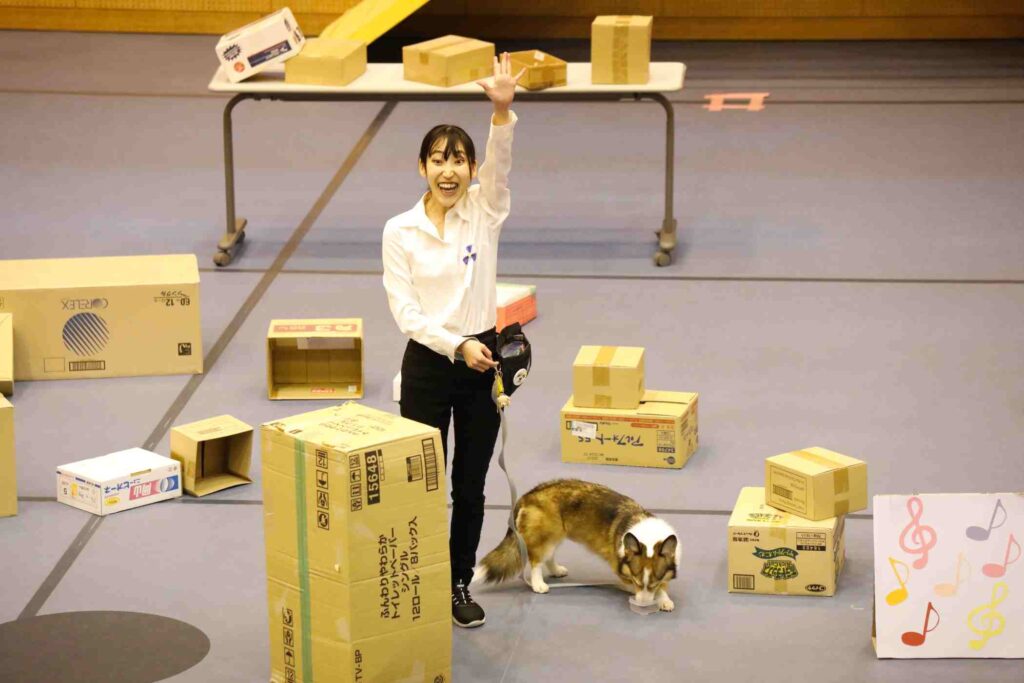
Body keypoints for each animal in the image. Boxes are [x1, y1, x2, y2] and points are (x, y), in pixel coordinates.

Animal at [473, 479, 679, 611]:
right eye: (635, 582)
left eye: (654, 583)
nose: (642, 604)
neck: (649, 536)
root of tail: (527, 496)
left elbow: (663, 586)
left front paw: (664, 599)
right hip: (546, 537)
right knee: (536, 561)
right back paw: (538, 584)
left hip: (556, 536)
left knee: (548, 558)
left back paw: (557, 571)